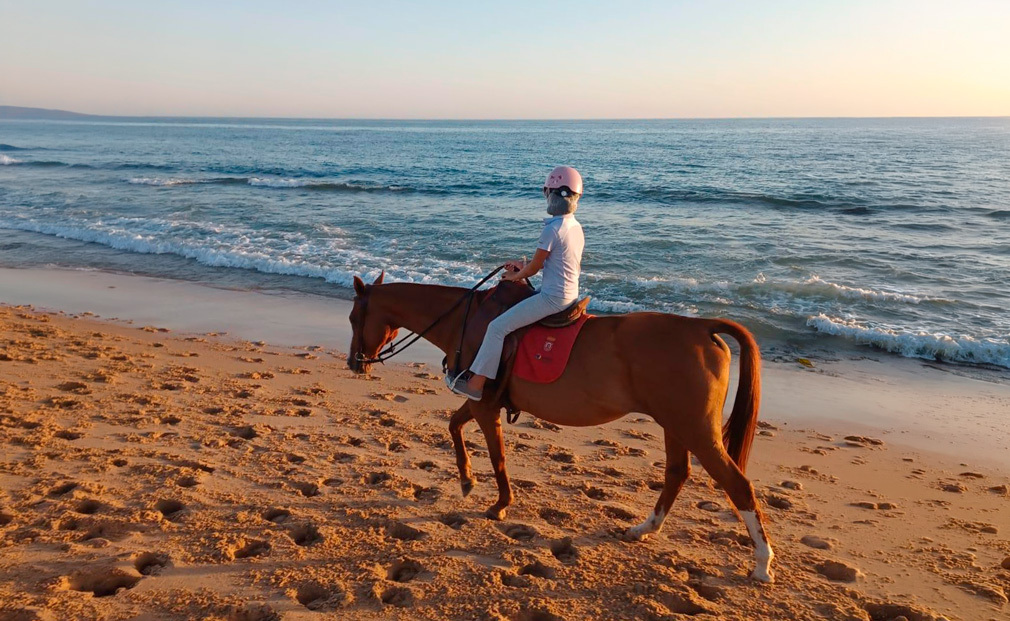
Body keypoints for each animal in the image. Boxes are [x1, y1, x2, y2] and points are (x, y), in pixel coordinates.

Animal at [347, 272, 775, 582]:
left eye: (354, 318)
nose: (354, 363)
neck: (467, 322)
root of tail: (702, 327)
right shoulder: (482, 402)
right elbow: (454, 426)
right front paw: (467, 479)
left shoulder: (484, 405)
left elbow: (497, 457)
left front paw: (500, 503)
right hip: (677, 425)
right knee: (677, 474)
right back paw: (644, 529)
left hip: (696, 429)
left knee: (738, 486)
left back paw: (762, 563)